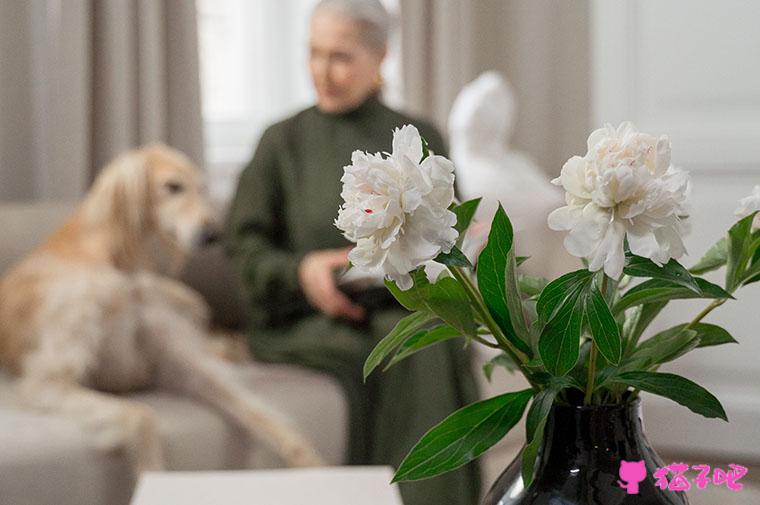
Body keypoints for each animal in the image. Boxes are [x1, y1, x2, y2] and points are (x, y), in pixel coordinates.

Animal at [0, 144, 324, 474]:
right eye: (173, 186)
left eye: (202, 188)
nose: (214, 235)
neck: (113, 262)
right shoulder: (48, 381)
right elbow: (142, 415)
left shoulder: (179, 364)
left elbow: (258, 412)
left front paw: (311, 462)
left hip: (187, 300)